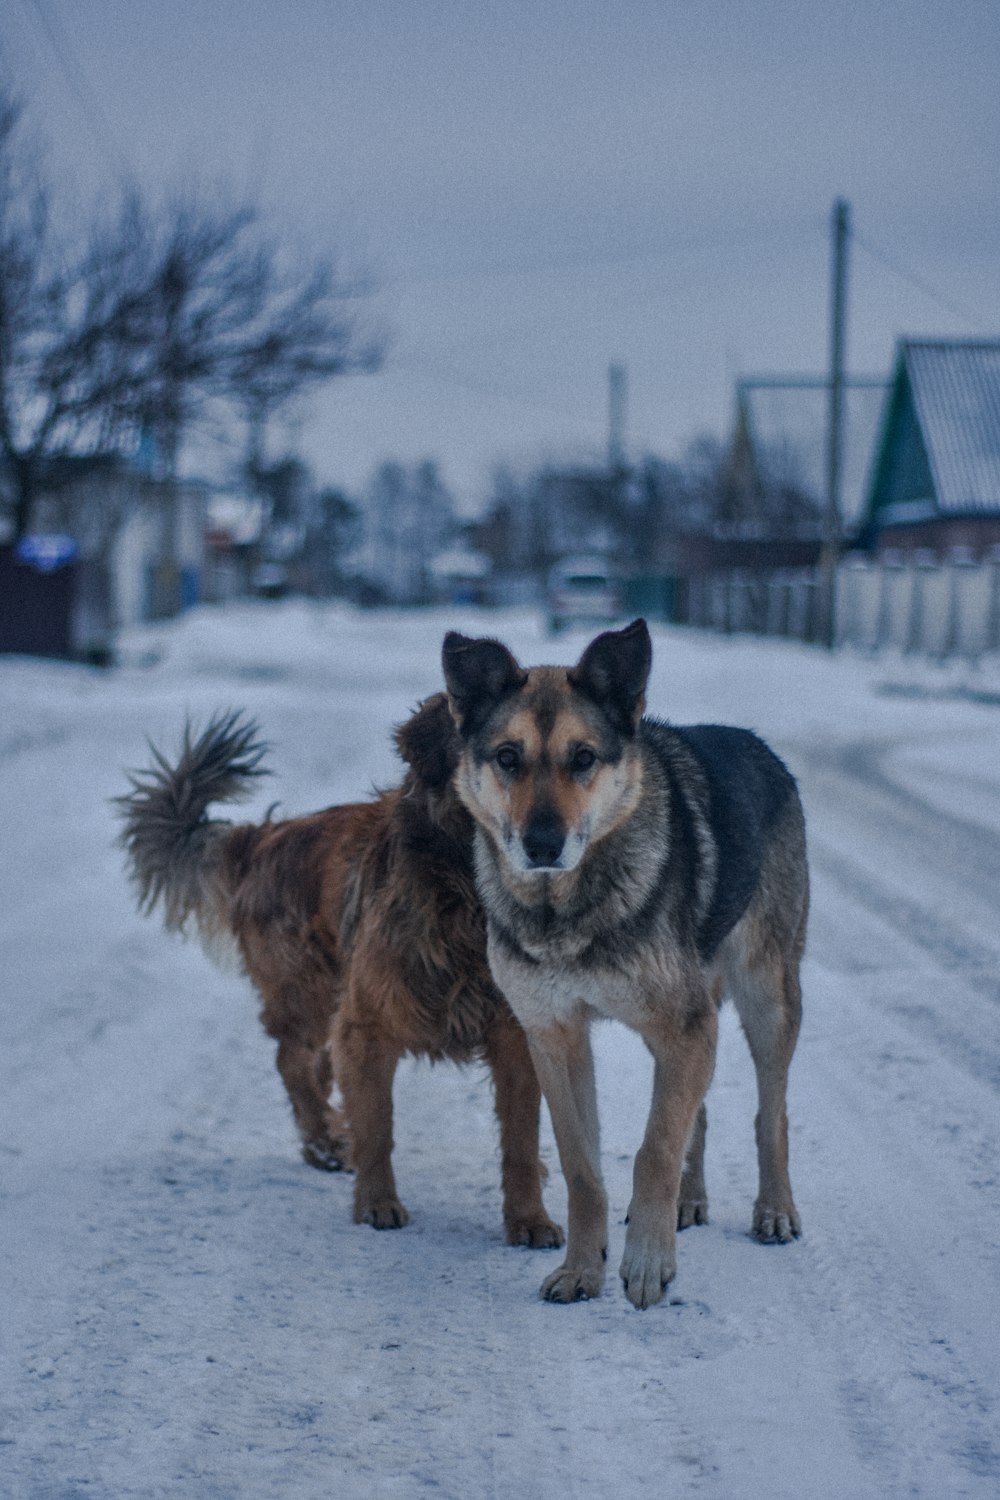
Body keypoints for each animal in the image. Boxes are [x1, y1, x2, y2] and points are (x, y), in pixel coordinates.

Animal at [117, 696, 563, 1248]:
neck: (462, 897)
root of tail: (261, 838)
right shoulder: (365, 1026)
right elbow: (377, 1127)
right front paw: (376, 1203)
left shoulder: (515, 1034)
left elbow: (520, 1137)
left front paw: (529, 1219)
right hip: (311, 992)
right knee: (291, 1059)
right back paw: (325, 1141)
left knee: (314, 1067)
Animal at [440, 615, 809, 1308]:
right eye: (508, 757)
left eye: (584, 758)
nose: (543, 844)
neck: (564, 912)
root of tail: (756, 743)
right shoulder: (555, 1036)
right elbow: (583, 1166)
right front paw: (583, 1269)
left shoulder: (683, 1028)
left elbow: (654, 1148)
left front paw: (645, 1264)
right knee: (702, 1110)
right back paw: (689, 1201)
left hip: (766, 998)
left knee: (769, 1113)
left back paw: (773, 1210)